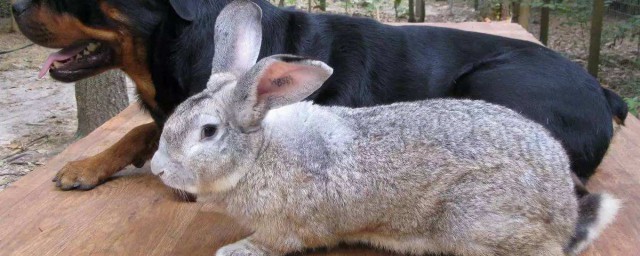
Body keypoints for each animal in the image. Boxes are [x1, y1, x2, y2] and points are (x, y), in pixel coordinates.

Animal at [150, 1, 620, 255]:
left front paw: (235, 249)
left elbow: (275, 243)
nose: (158, 168)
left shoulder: (287, 227)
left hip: (475, 221)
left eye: (208, 132)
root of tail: (563, 212)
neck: (258, 154)